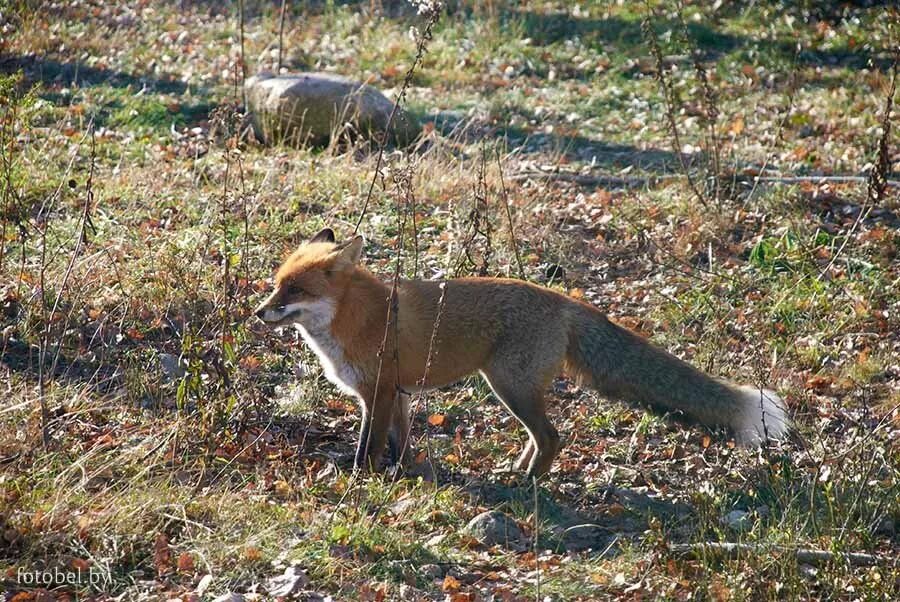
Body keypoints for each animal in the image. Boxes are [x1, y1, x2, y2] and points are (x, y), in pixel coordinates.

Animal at [253, 227, 788, 476]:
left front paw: (361, 479)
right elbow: (401, 443)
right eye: (276, 284)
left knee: (551, 436)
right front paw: (410, 474)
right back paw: (518, 469)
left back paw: (529, 480)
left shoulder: (379, 392)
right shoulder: (401, 394)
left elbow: (370, 445)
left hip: (508, 385)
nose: (259, 312)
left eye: (293, 290)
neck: (357, 319)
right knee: (541, 435)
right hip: (515, 388)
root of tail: (568, 301)